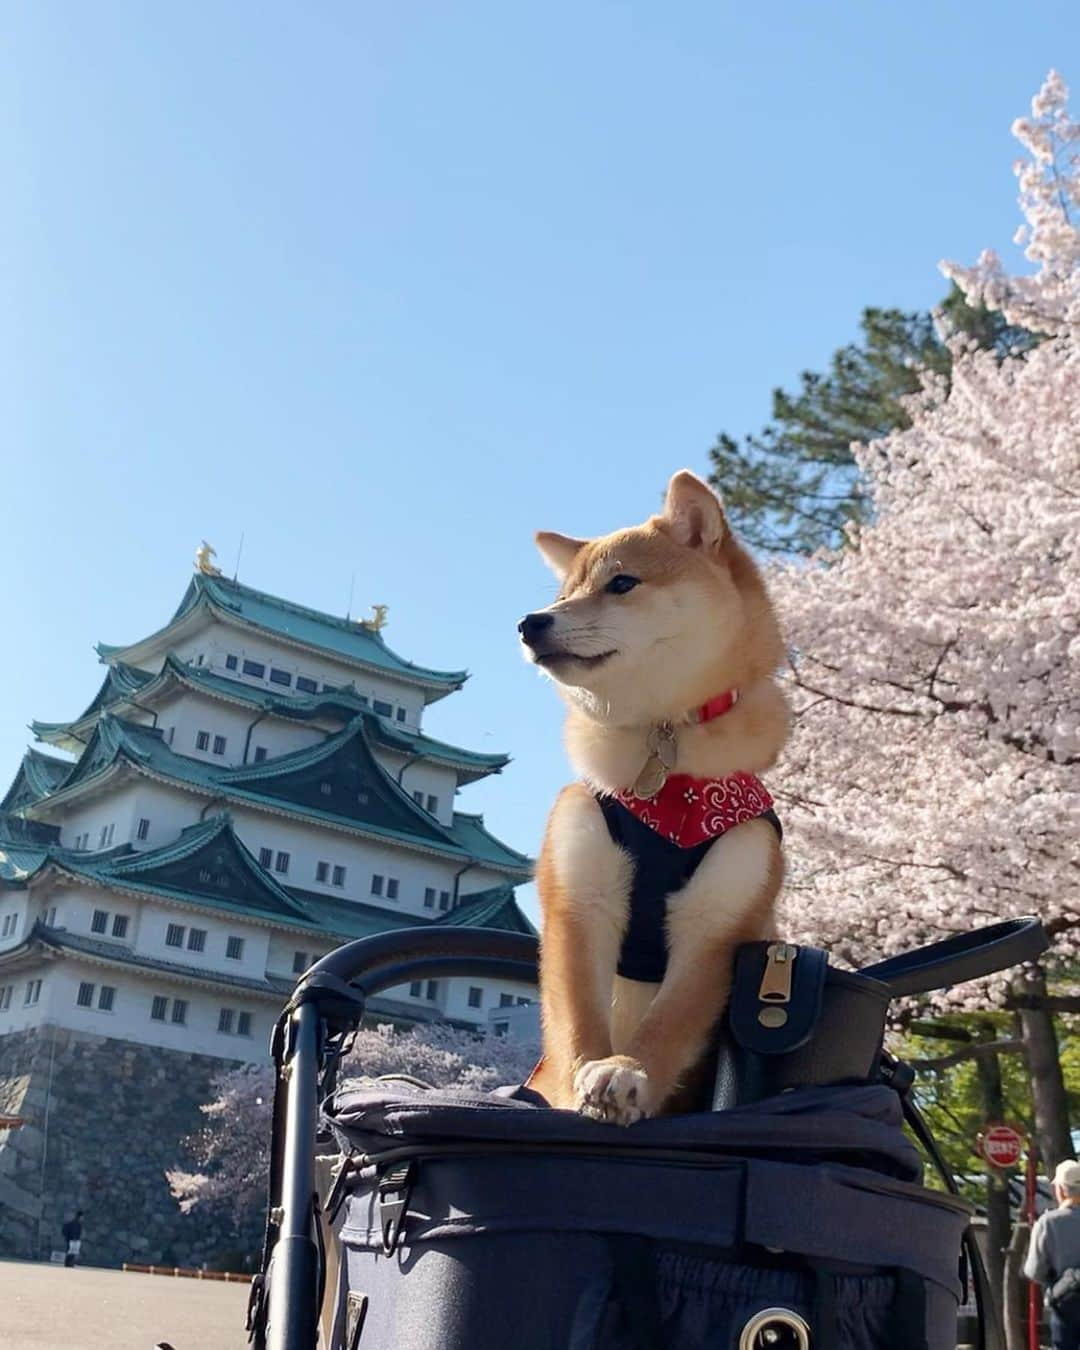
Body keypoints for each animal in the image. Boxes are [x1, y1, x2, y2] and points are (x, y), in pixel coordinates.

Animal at [518, 469, 788, 1123]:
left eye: (621, 583)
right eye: (564, 592)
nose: (531, 621)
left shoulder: (720, 919)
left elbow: (670, 1022)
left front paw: (628, 1072)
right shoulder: (580, 896)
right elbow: (577, 1021)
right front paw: (575, 1086)